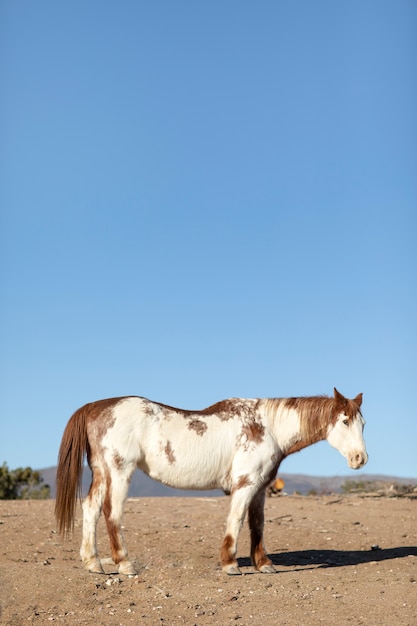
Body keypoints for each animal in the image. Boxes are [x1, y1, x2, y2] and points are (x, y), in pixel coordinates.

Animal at [55, 386, 368, 576]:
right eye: (344, 421)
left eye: (362, 424)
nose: (360, 458)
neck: (266, 427)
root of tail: (94, 406)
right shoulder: (245, 484)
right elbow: (237, 520)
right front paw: (230, 563)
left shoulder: (260, 487)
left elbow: (257, 524)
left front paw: (263, 564)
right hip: (120, 472)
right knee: (112, 513)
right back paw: (124, 564)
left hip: (102, 473)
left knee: (91, 509)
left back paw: (93, 562)